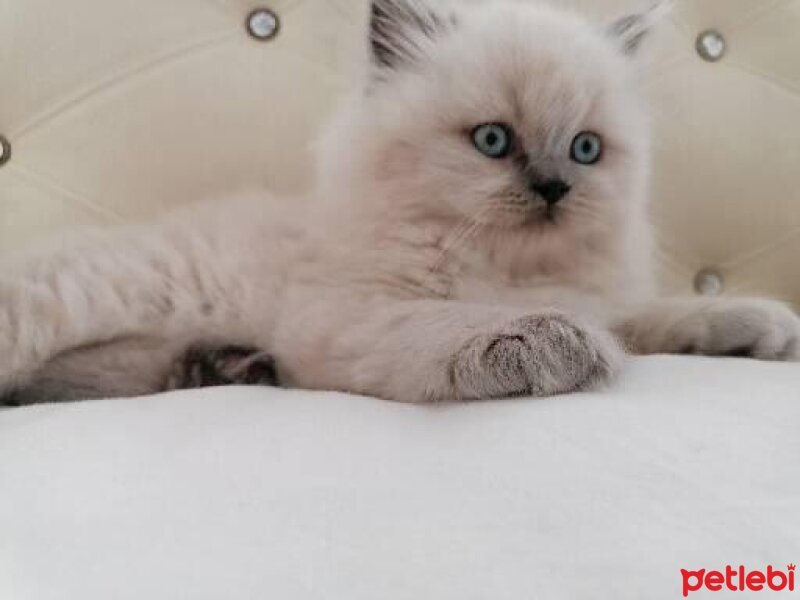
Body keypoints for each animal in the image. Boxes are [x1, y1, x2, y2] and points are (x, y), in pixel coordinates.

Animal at [1, 0, 800, 406]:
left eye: (584, 150)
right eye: (493, 139)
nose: (553, 189)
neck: (502, 267)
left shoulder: (605, 295)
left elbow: (657, 315)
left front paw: (755, 326)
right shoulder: (351, 312)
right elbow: (453, 324)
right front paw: (553, 341)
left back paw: (224, 369)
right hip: (64, 302)